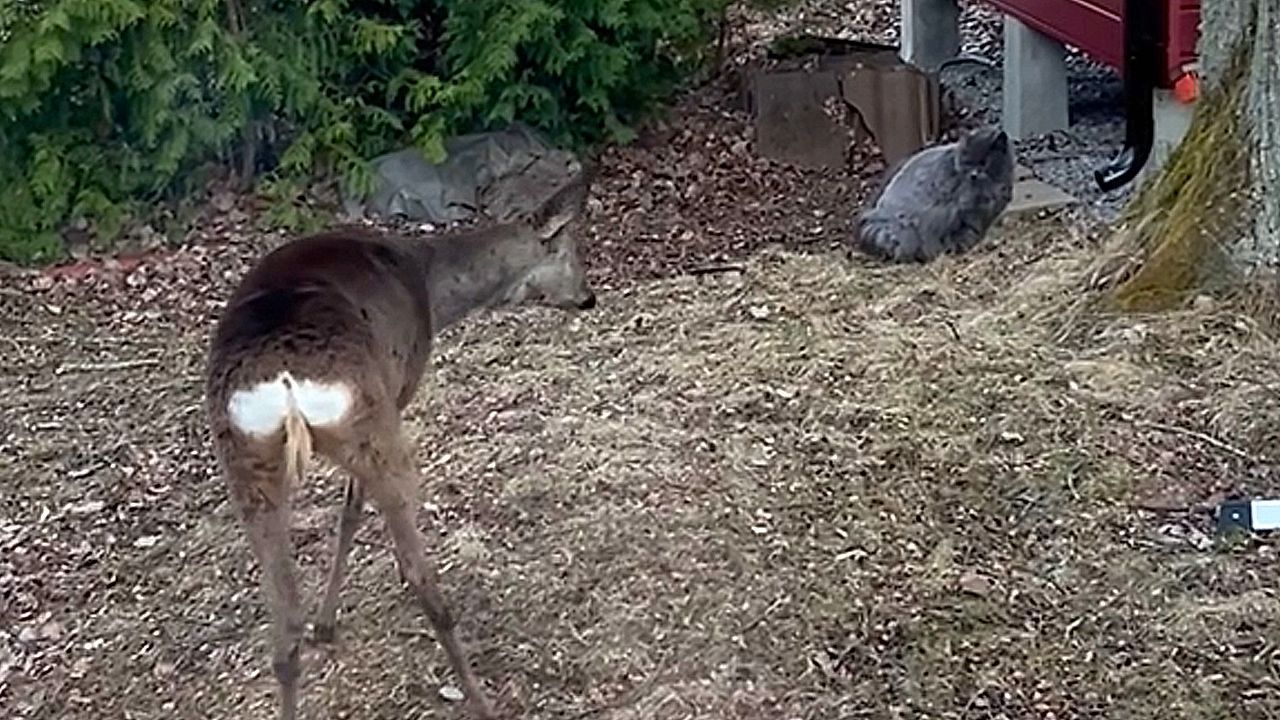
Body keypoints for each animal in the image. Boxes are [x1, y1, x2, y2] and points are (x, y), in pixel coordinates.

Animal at [203, 170, 596, 720]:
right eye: (570, 250)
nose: (588, 297)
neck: (430, 284)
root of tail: (284, 381)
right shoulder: (399, 391)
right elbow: (351, 512)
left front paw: (327, 624)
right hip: (373, 427)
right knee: (420, 574)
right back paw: (480, 700)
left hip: (246, 459)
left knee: (284, 614)